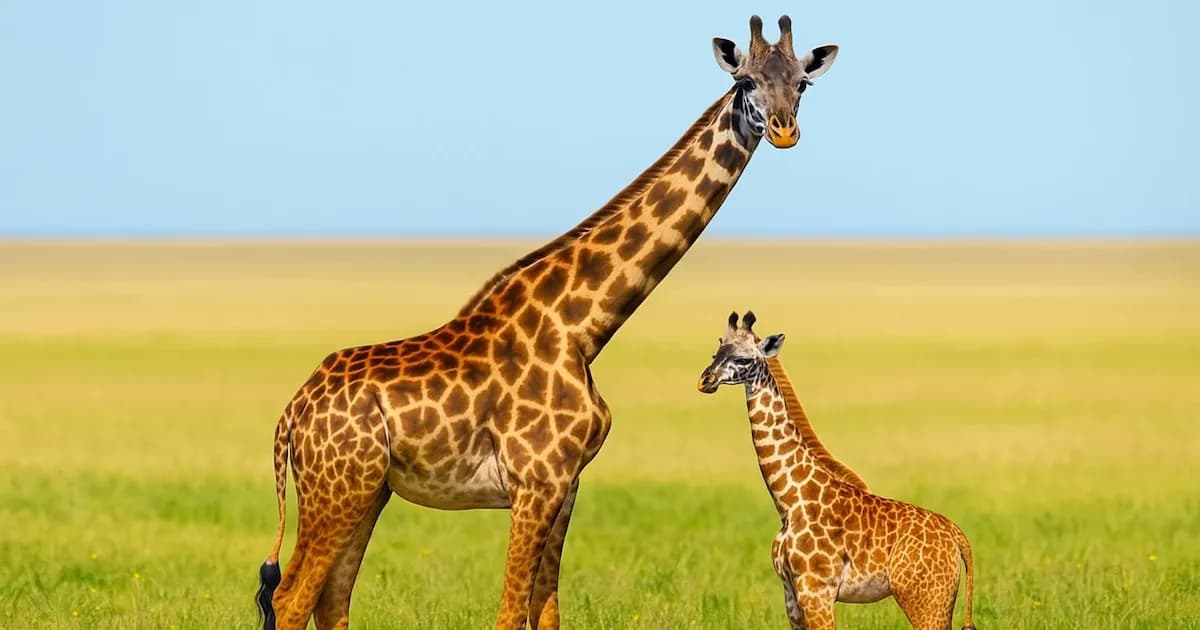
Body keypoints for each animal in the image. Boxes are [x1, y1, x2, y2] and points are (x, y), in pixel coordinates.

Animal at [254, 16, 841, 630]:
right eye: (746, 81)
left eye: (802, 84)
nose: (784, 131)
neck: (582, 328)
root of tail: (292, 412)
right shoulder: (535, 482)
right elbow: (511, 614)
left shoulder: (567, 484)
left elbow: (547, 613)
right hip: (337, 490)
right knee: (292, 599)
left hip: (367, 490)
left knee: (330, 599)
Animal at [697, 312, 979, 630]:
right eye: (716, 353)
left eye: (744, 359)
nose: (705, 381)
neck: (789, 501)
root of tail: (957, 536)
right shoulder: (791, 594)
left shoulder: (816, 591)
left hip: (926, 598)